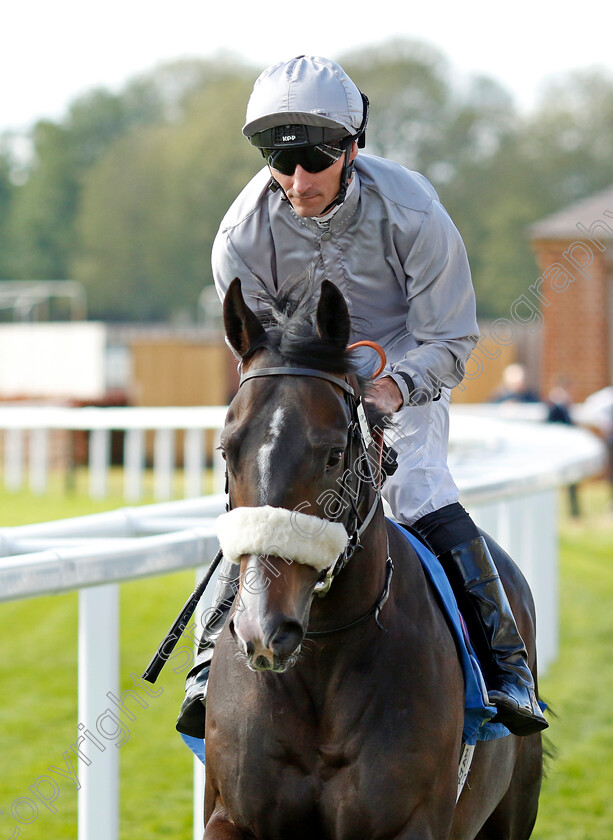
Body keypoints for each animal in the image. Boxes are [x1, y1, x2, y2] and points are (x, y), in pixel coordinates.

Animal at [203, 280, 544, 840]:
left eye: (332, 454)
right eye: (227, 450)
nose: (264, 629)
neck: (321, 661)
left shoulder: (408, 822)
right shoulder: (232, 818)